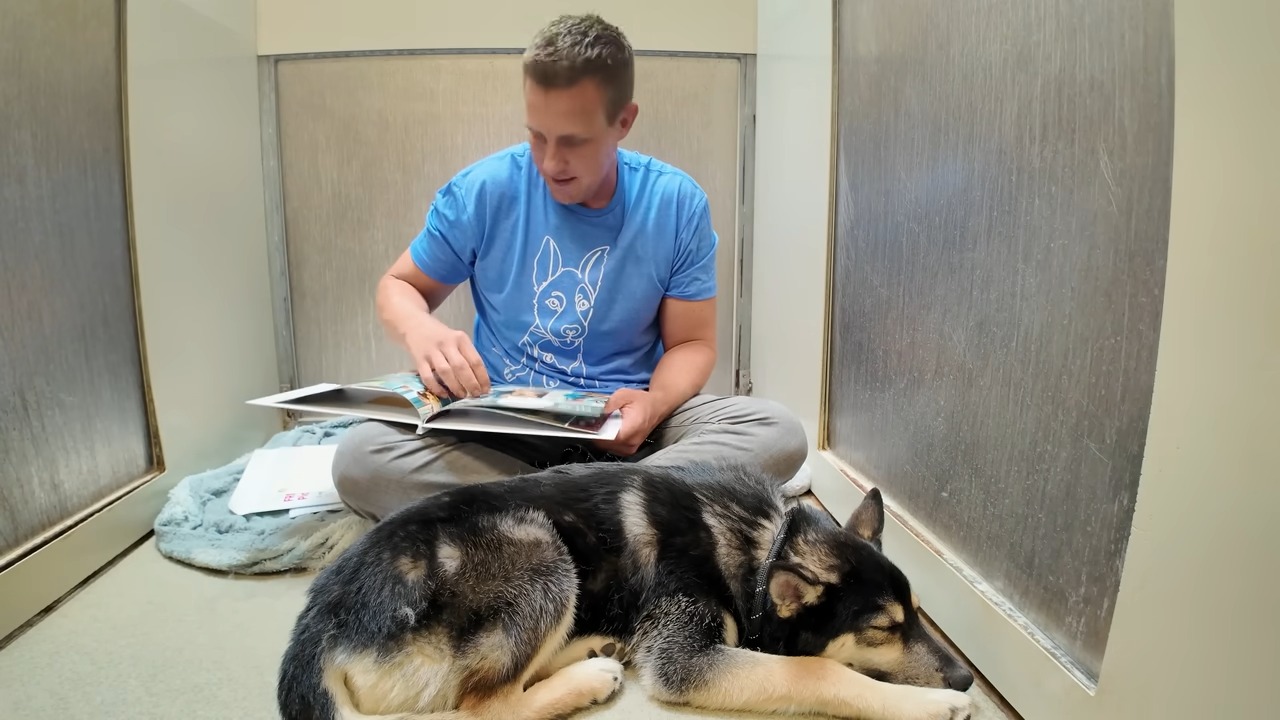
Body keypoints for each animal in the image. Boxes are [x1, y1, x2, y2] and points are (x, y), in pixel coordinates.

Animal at [275, 458, 972, 717]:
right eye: (883, 629)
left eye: (918, 614)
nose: (967, 679)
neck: (761, 550)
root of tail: (319, 619)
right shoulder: (686, 661)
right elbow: (816, 673)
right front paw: (933, 706)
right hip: (540, 555)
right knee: (481, 707)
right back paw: (586, 679)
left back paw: (590, 651)